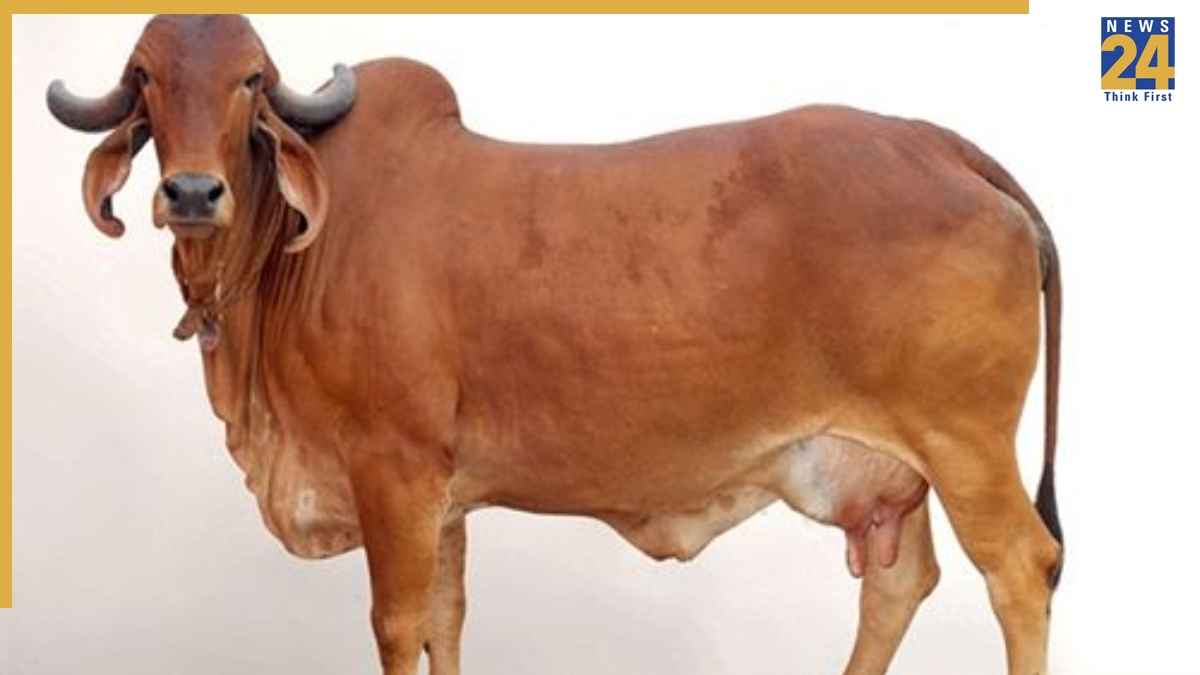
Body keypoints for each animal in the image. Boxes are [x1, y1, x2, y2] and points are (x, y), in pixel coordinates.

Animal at [46, 14, 1064, 675]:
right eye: (144, 78)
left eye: (251, 81)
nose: (190, 192)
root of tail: (937, 144)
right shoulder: (443, 497)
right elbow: (445, 620)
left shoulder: (392, 470)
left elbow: (396, 622)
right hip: (897, 472)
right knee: (899, 583)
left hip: (967, 446)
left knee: (1022, 569)